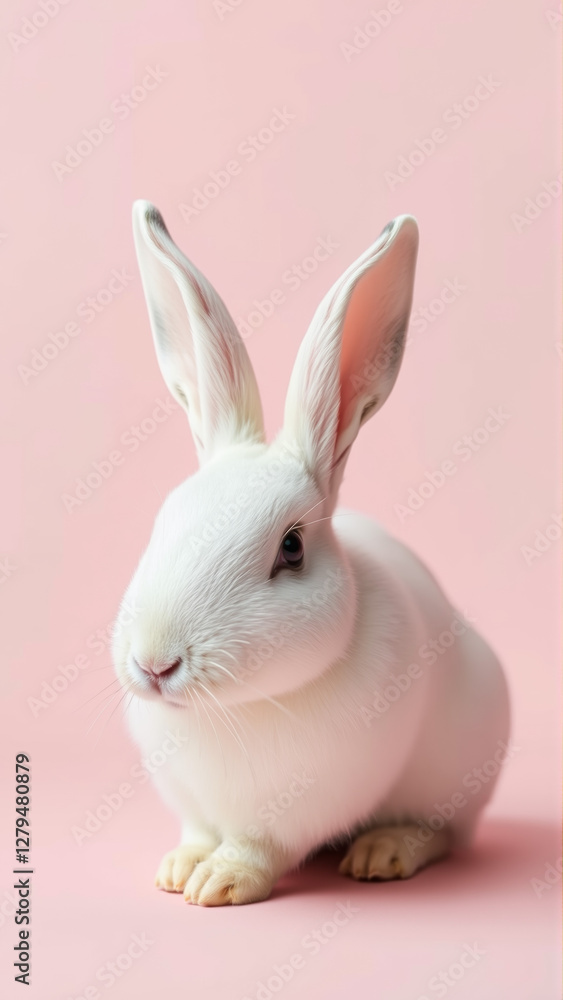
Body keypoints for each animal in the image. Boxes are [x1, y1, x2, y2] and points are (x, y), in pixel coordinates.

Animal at [112, 200, 510, 906]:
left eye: (291, 548)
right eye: (164, 520)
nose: (155, 664)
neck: (235, 711)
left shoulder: (293, 812)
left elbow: (258, 848)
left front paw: (218, 881)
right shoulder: (188, 799)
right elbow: (196, 830)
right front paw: (180, 868)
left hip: (459, 776)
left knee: (445, 831)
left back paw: (384, 852)